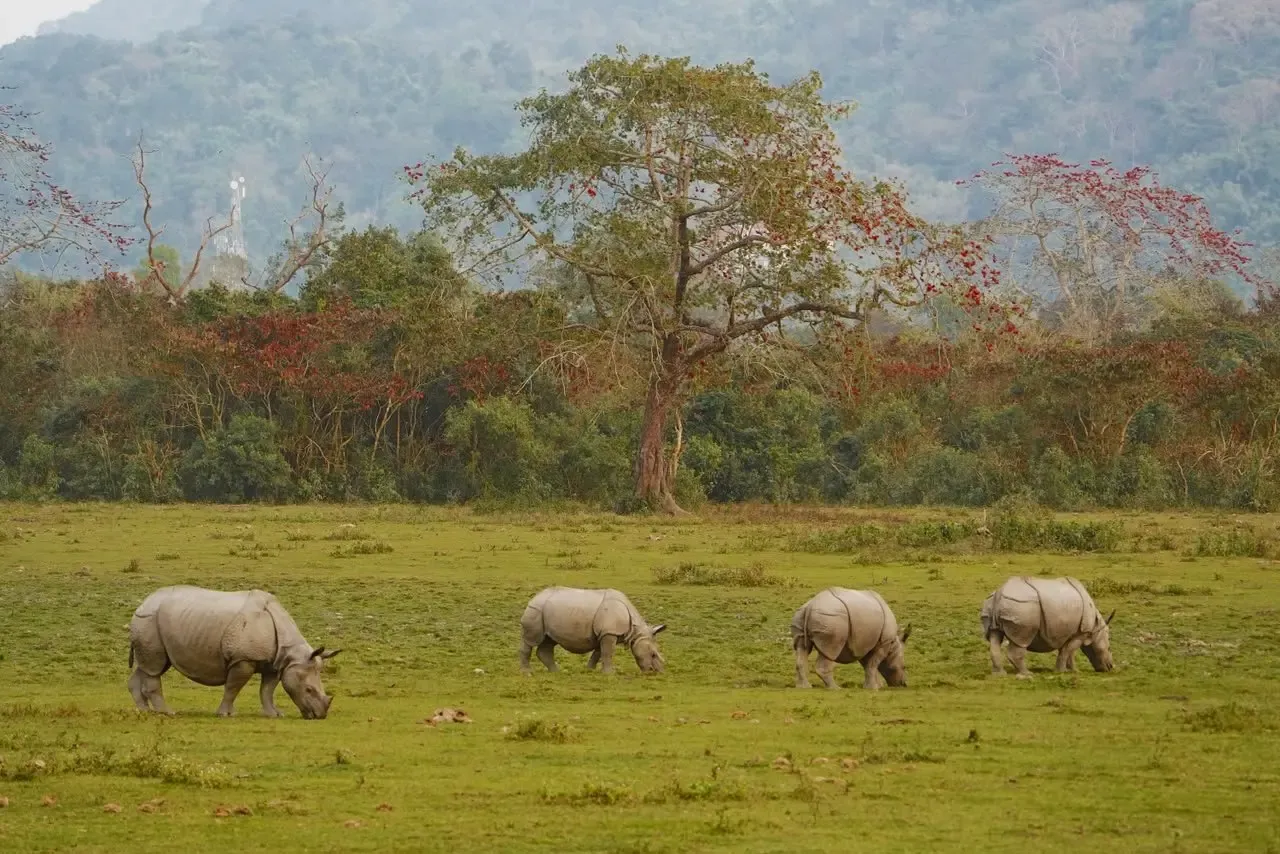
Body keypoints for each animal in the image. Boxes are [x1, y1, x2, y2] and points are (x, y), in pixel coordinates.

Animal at [127, 585, 340, 718]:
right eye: (309, 690)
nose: (320, 716)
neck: (291, 654)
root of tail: (142, 603)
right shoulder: (243, 659)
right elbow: (233, 688)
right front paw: (226, 714)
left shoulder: (275, 662)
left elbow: (267, 690)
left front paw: (275, 714)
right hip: (149, 621)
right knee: (154, 667)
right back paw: (167, 713)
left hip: (154, 623)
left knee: (149, 666)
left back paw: (144, 712)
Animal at [519, 586, 666, 675]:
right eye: (653, 654)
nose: (656, 672)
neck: (636, 632)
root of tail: (534, 597)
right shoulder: (609, 632)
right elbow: (607, 653)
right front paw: (609, 674)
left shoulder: (604, 633)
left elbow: (599, 653)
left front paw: (590, 670)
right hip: (536, 610)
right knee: (530, 641)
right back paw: (527, 673)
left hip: (546, 612)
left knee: (549, 641)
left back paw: (556, 672)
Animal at [981, 575, 1115, 677]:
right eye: (1108, 648)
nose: (1110, 667)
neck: (1096, 628)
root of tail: (1000, 592)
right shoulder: (1082, 633)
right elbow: (1068, 651)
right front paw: (1061, 672)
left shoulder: (1068, 632)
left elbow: (1068, 652)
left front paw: (1074, 671)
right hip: (1023, 606)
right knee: (1022, 640)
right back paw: (1027, 674)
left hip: (994, 603)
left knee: (994, 635)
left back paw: (999, 675)